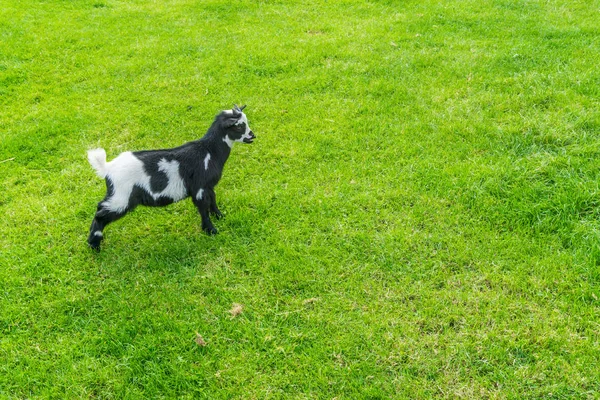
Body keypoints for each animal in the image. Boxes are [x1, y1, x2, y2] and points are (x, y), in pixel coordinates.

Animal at [85, 104, 254, 252]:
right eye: (239, 126)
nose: (253, 136)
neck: (209, 151)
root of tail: (107, 168)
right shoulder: (199, 187)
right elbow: (203, 208)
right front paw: (211, 231)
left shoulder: (208, 186)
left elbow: (213, 201)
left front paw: (220, 216)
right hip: (122, 196)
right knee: (100, 213)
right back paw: (94, 246)